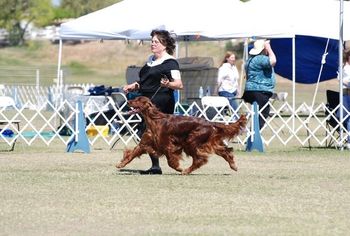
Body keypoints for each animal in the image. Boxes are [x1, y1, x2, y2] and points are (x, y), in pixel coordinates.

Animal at [115, 95, 246, 174]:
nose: (128, 101)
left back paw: (186, 171)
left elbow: (170, 161)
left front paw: (178, 167)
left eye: (138, 100)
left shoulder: (168, 145)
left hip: (191, 141)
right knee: (226, 151)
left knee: (200, 159)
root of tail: (209, 122)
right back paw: (233, 165)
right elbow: (131, 154)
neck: (154, 120)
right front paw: (121, 164)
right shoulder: (144, 144)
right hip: (208, 143)